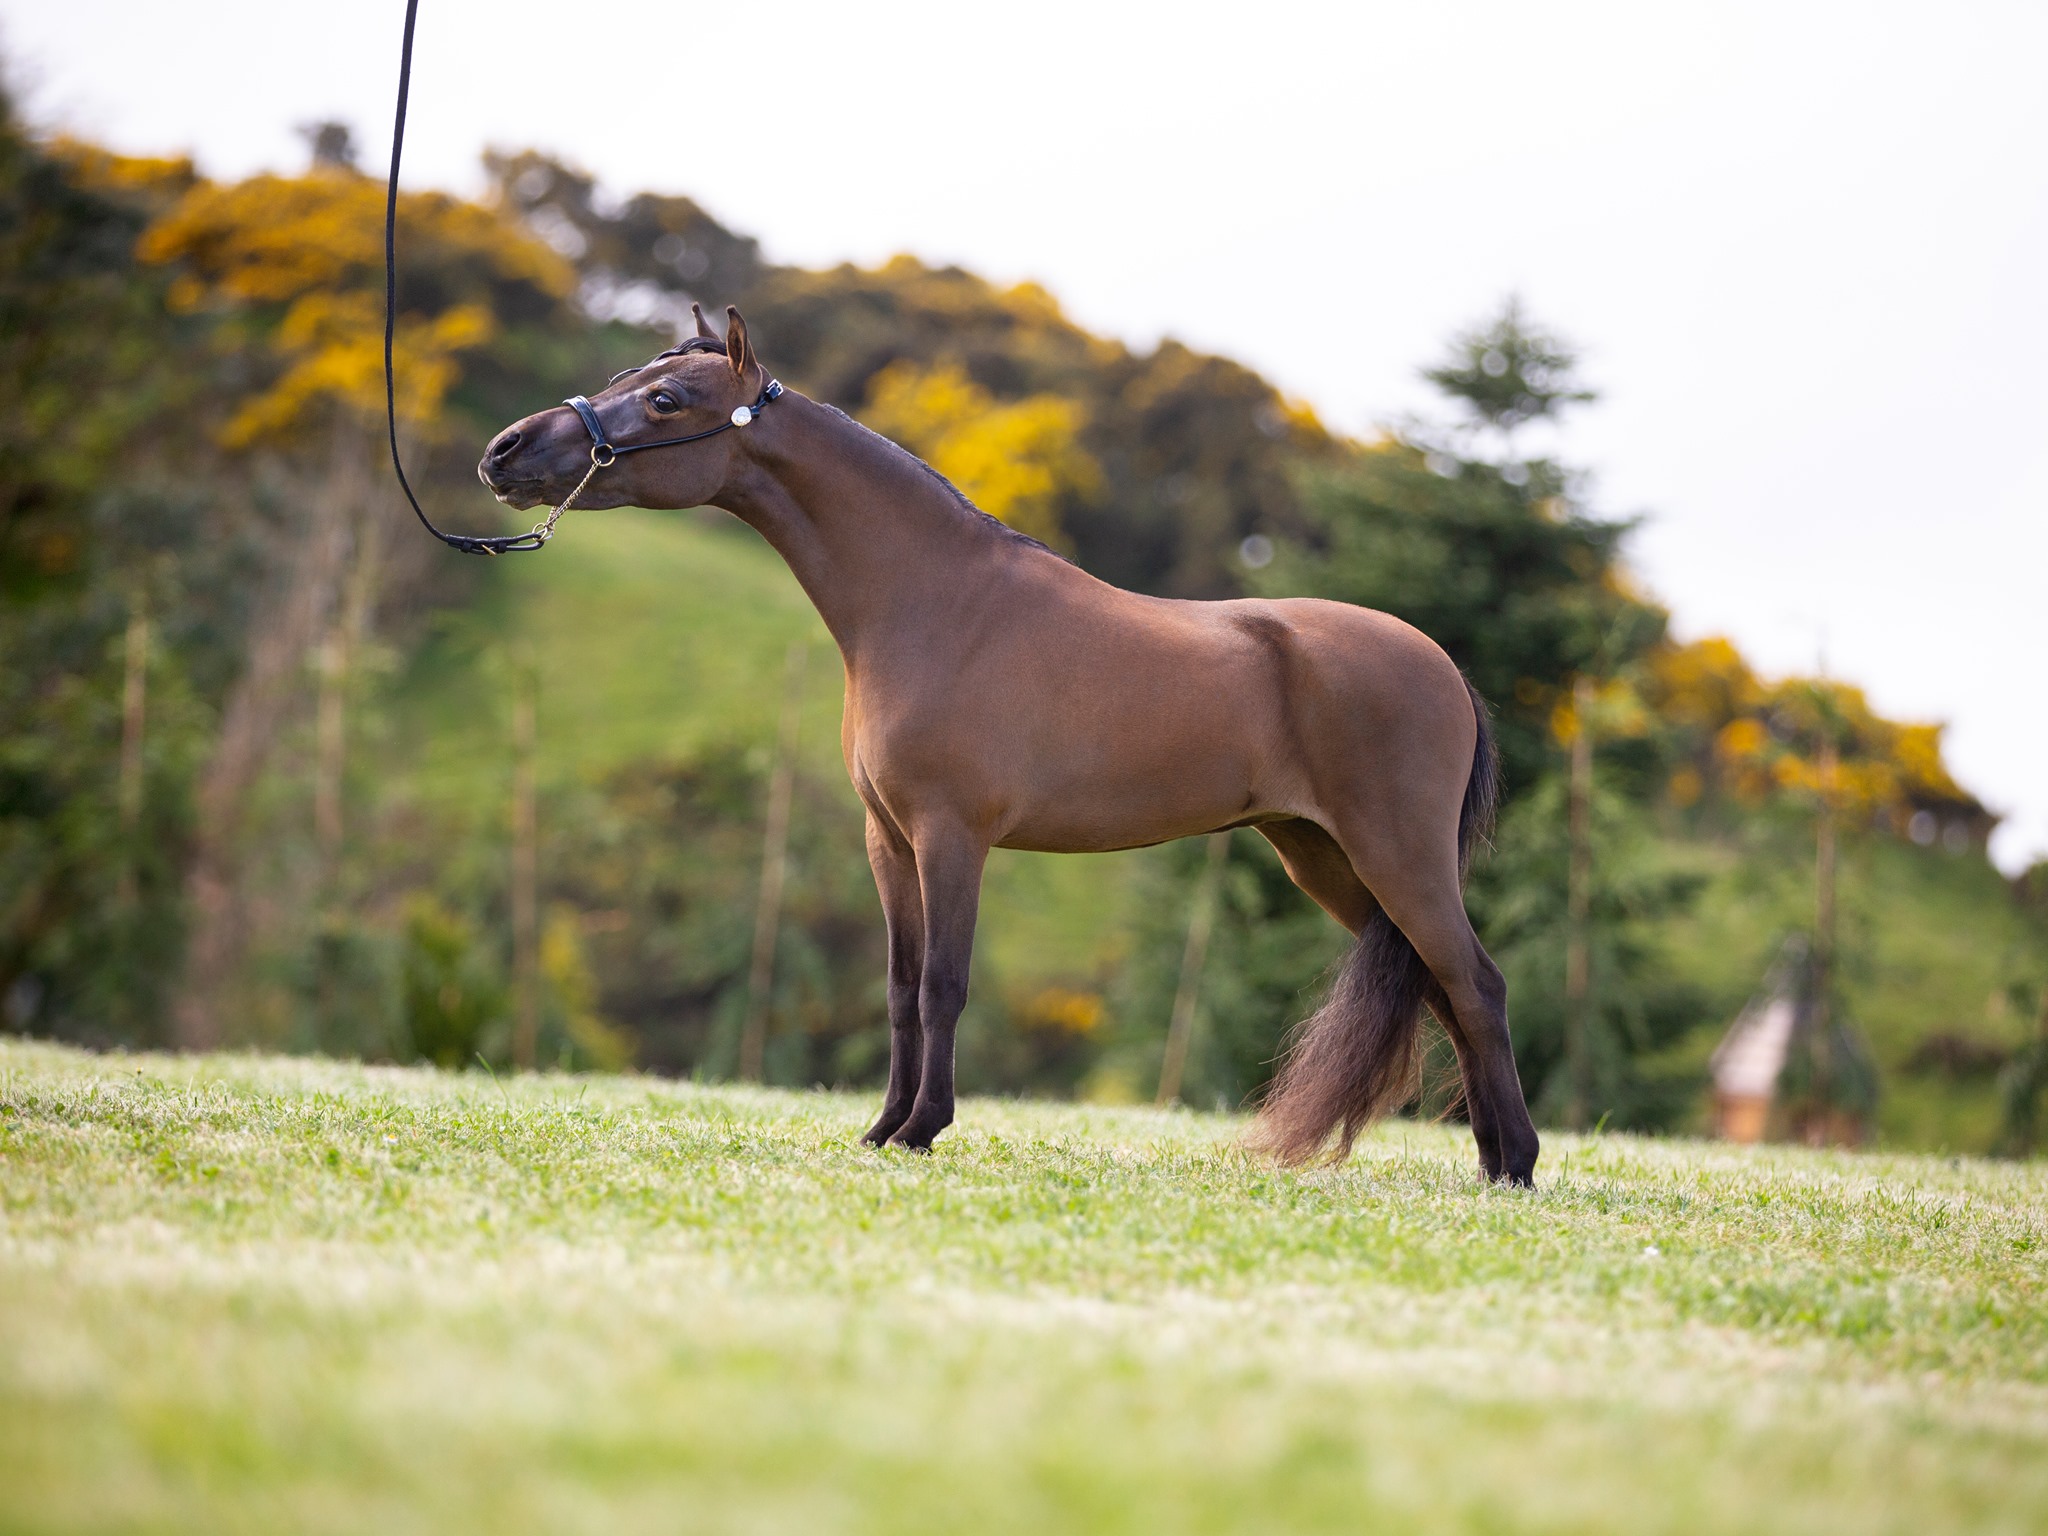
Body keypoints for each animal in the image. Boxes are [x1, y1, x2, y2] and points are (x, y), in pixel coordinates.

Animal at [477, 306, 1540, 1185]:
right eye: (629, 372)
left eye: (666, 398)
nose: (504, 449)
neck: (932, 602)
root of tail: (1442, 667)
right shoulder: (889, 841)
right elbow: (901, 988)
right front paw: (882, 1129)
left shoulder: (954, 836)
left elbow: (945, 986)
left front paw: (923, 1129)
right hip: (1323, 858)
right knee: (1442, 989)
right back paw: (1493, 1161)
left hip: (1394, 854)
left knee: (1477, 985)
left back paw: (1519, 1166)